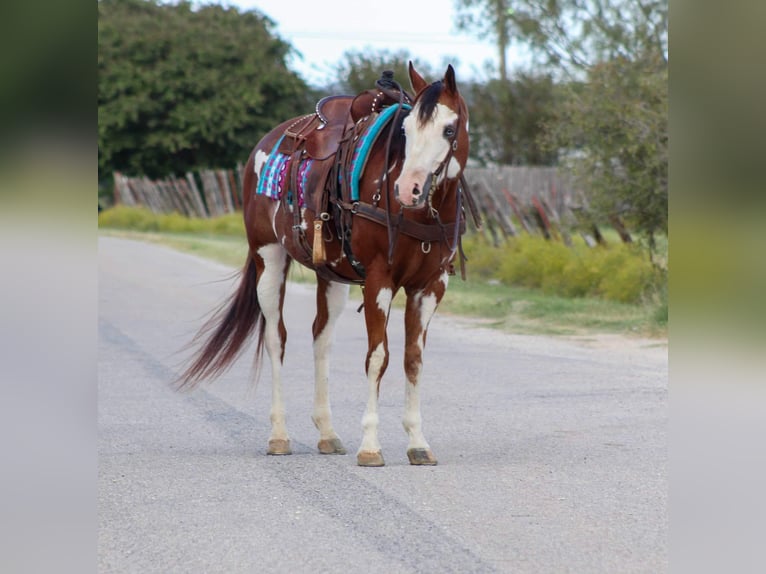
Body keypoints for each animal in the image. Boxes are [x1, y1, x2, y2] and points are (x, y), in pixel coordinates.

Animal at [179, 63, 480, 468]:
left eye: (449, 129)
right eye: (406, 130)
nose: (408, 189)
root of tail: (267, 142)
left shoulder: (431, 286)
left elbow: (413, 359)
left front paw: (418, 442)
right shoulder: (379, 281)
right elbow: (378, 357)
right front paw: (370, 446)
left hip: (332, 276)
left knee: (321, 339)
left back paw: (327, 433)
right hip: (268, 258)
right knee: (276, 339)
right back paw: (279, 435)